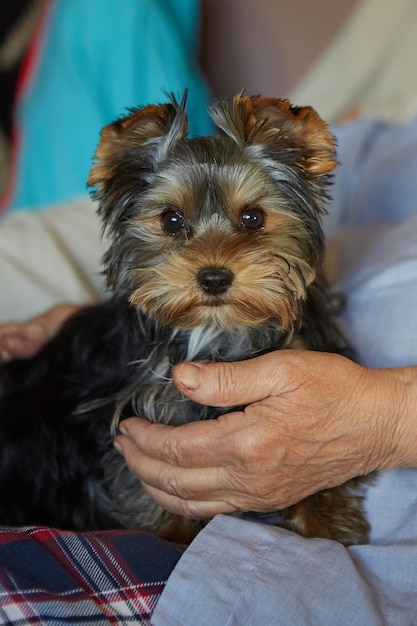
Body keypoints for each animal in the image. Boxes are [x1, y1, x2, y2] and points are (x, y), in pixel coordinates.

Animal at [0, 92, 368, 540]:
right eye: (171, 220)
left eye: (254, 217)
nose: (213, 278)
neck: (214, 331)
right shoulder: (128, 415)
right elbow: (144, 490)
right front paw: (173, 537)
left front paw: (324, 519)